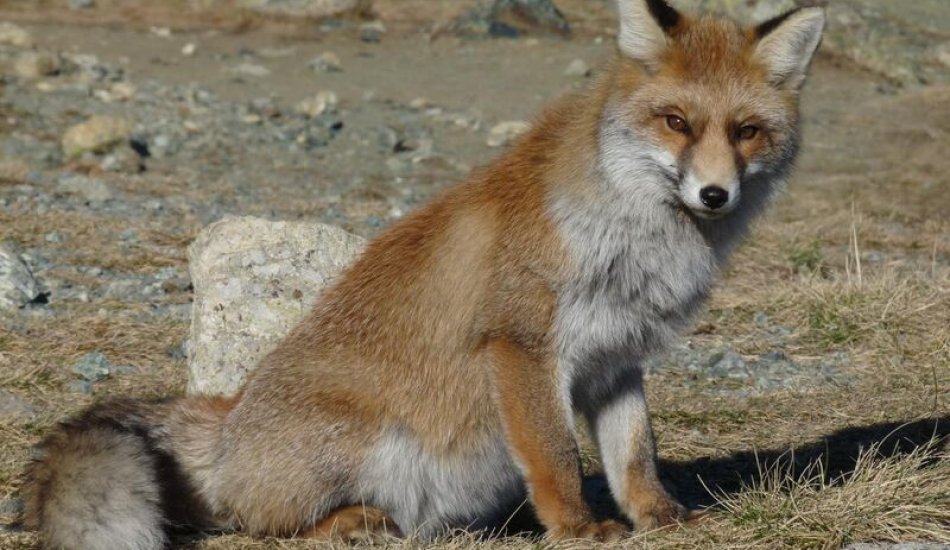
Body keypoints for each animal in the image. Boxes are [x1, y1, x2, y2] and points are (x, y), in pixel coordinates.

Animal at [20, 0, 825, 548]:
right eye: (676, 122)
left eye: (747, 131)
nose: (715, 195)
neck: (633, 240)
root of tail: (227, 421)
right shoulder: (522, 346)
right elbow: (557, 456)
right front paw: (576, 527)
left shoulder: (617, 357)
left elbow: (635, 458)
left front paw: (658, 518)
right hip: (360, 442)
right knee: (260, 524)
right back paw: (351, 521)